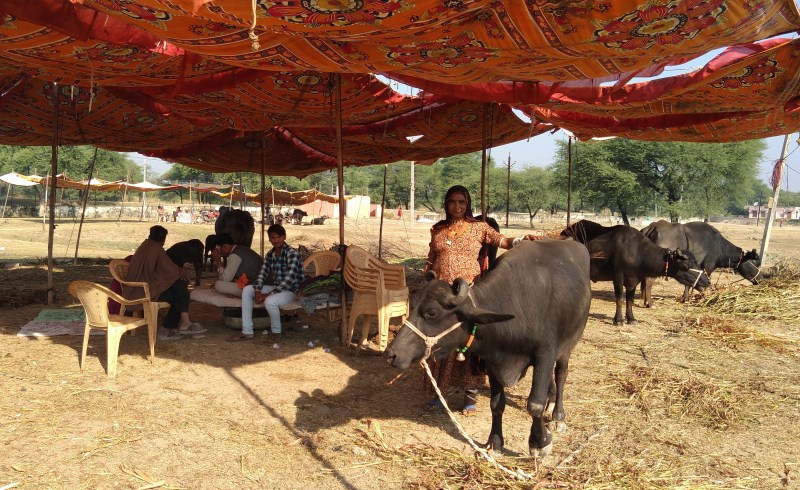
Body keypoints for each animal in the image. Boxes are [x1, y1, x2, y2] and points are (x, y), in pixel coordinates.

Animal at [385, 240, 591, 457]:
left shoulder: (545, 354)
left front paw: (540, 442)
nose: (391, 354)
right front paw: (495, 443)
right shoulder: (494, 361)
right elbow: (496, 404)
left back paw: (558, 415)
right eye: (413, 305)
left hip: (567, 347)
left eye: (432, 312)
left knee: (561, 375)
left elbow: (535, 404)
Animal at [580, 224, 711, 325]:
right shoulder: (618, 276)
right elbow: (619, 298)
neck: (638, 252)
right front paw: (618, 320)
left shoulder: (633, 280)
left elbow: (630, 299)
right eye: (686, 266)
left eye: (696, 262)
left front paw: (631, 319)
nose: (708, 281)